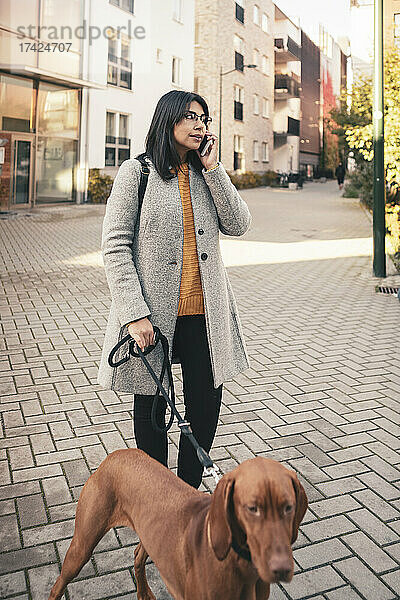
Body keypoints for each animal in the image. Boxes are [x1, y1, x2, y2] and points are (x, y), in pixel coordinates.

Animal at [48, 450, 308, 600]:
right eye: (252, 508)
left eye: (288, 507)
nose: (281, 569)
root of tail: (115, 454)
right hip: (82, 546)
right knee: (57, 586)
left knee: (137, 555)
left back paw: (144, 593)